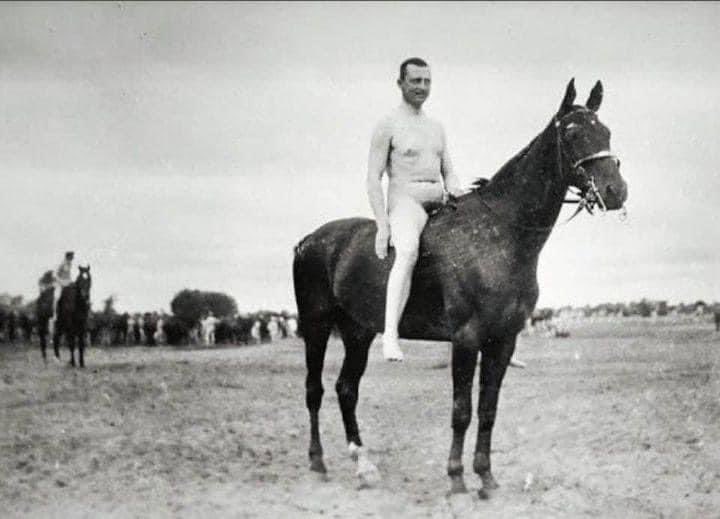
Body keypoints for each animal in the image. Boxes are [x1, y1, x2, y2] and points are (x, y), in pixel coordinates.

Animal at [296, 80, 628, 496]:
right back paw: (317, 462)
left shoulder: (503, 340)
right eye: (571, 133)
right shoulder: (467, 339)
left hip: (358, 332)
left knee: (346, 390)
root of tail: (310, 240)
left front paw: (486, 475)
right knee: (315, 390)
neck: (500, 233)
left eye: (607, 132)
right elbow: (461, 410)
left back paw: (363, 466)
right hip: (317, 326)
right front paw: (456, 477)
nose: (616, 191)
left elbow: (488, 410)